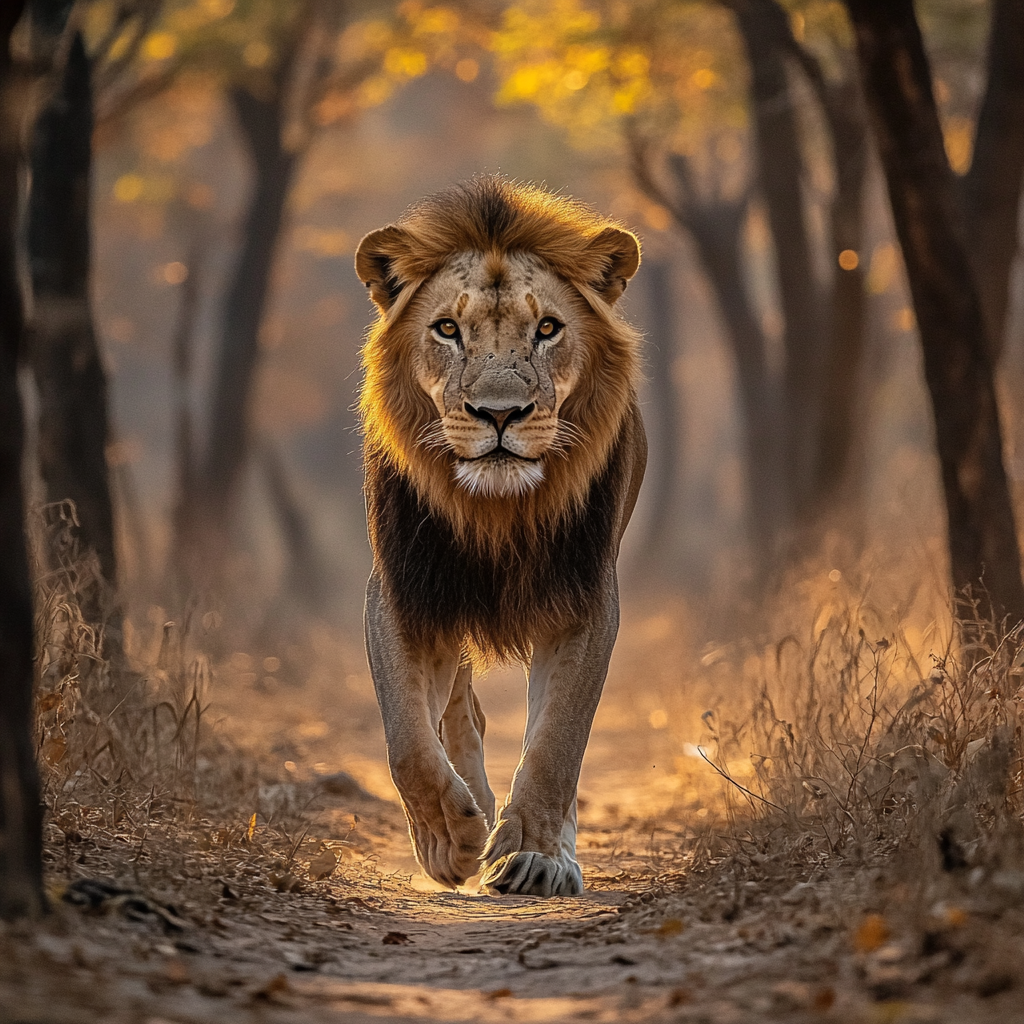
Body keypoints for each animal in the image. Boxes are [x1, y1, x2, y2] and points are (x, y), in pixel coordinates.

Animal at [356, 176, 643, 897]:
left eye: (547, 328)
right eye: (447, 329)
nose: (499, 414)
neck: (496, 512)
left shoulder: (586, 601)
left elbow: (557, 742)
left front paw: (537, 854)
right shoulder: (403, 591)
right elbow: (407, 739)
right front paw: (450, 839)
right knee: (460, 714)